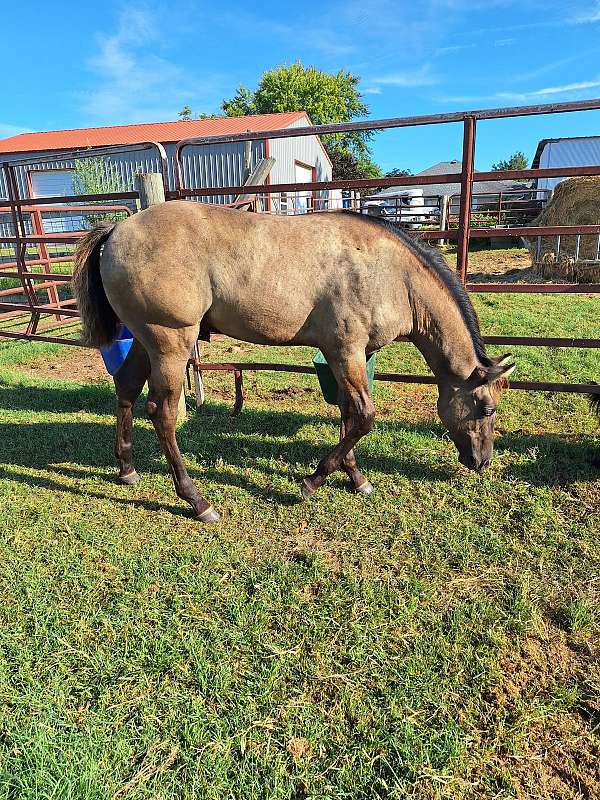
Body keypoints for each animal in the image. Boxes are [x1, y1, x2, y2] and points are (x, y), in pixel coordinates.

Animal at [74, 203, 516, 520]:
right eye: (486, 408)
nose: (481, 461)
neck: (392, 274)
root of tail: (118, 230)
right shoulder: (346, 350)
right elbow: (364, 417)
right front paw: (313, 481)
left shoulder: (351, 355)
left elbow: (347, 414)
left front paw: (355, 477)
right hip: (170, 342)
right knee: (161, 411)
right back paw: (197, 501)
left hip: (146, 341)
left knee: (127, 388)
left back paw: (127, 469)